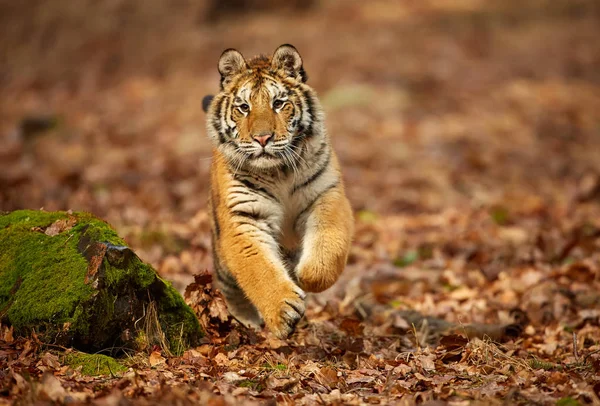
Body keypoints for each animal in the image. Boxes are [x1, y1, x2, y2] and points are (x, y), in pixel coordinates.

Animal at [203, 43, 352, 340]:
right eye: (244, 107)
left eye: (278, 103)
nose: (262, 138)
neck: (278, 171)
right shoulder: (244, 217)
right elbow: (258, 267)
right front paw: (283, 310)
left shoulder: (326, 194)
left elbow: (329, 239)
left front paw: (307, 276)